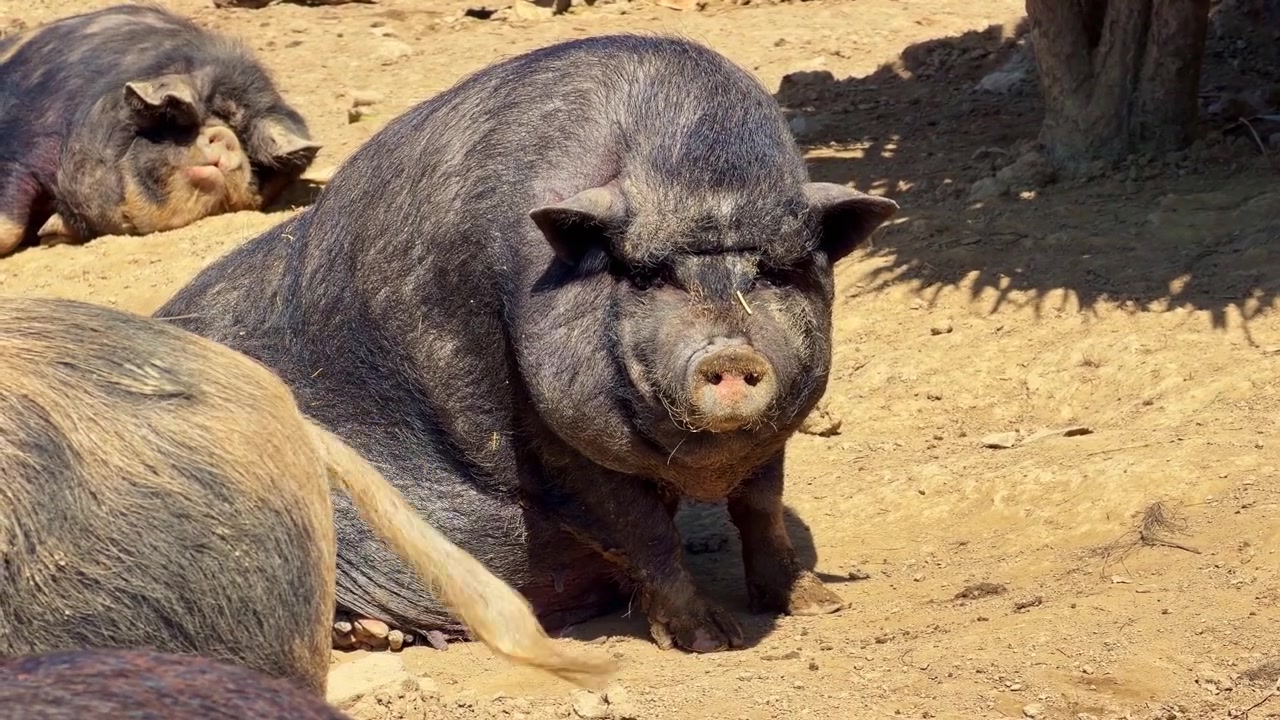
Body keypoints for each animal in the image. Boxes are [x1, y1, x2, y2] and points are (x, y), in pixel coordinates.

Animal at [0, 4, 320, 258]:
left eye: (244, 141)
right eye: (176, 120)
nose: (225, 136)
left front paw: (48, 234)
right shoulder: (18, 149)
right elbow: (8, 230)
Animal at [156, 34, 899, 654]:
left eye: (772, 271)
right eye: (648, 274)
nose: (728, 354)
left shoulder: (769, 437)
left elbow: (761, 505)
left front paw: (816, 603)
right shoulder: (546, 433)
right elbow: (643, 529)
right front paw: (709, 641)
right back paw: (366, 637)